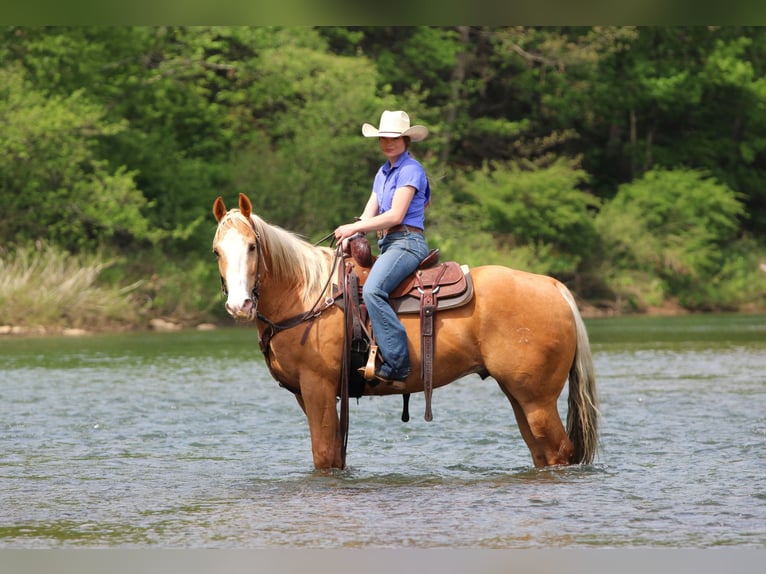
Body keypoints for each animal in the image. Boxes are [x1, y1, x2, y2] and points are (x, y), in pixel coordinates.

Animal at [212, 193, 599, 470]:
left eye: (252, 246)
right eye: (217, 251)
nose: (239, 305)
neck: (307, 295)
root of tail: (553, 286)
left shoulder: (317, 386)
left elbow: (323, 456)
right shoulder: (307, 394)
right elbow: (334, 455)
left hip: (538, 399)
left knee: (559, 451)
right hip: (520, 395)